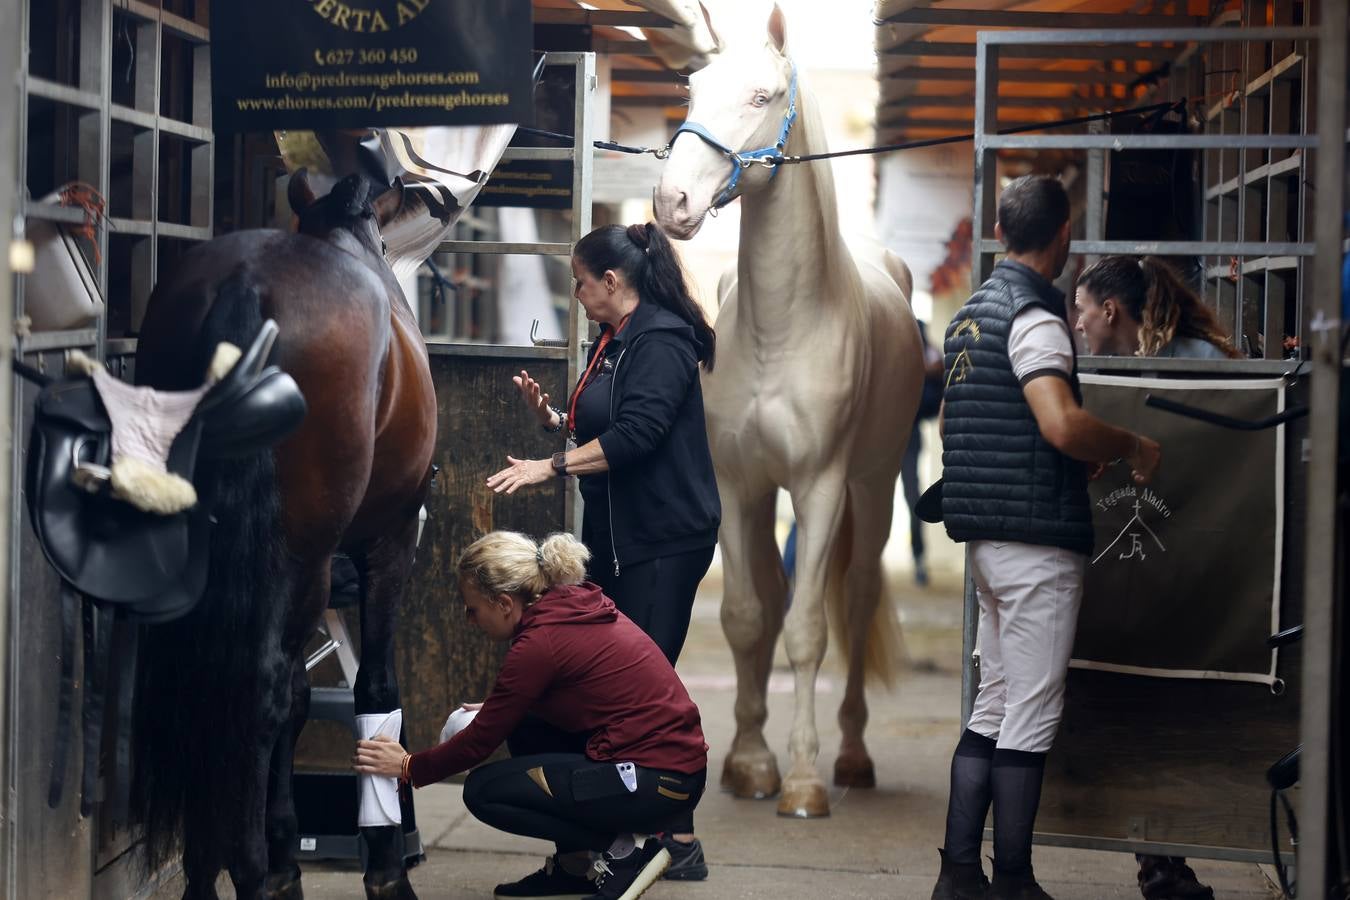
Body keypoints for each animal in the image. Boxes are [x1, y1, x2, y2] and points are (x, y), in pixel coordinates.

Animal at [131, 170, 437, 899]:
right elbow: (374, 688)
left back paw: (207, 870)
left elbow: (301, 700)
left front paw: (284, 855)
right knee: (260, 689)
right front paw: (385, 868)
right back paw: (243, 869)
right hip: (306, 558)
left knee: (210, 684)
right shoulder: (387, 544)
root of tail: (249, 284)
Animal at [651, 3, 924, 818]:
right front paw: (749, 762)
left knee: (857, 599)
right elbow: (748, 617)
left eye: (761, 95)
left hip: (872, 489)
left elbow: (806, 630)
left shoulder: (821, 488)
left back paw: (854, 756)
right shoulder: (740, 486)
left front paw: (801, 781)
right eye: (692, 87)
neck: (782, 331)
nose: (672, 201)